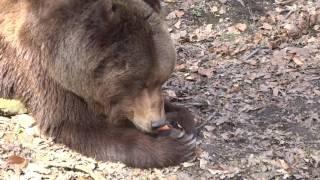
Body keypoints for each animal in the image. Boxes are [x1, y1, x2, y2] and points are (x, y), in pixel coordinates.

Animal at [0, 0, 195, 169]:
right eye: (140, 84)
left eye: (161, 80)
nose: (156, 123)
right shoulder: (39, 69)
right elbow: (77, 125)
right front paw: (175, 144)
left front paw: (179, 119)